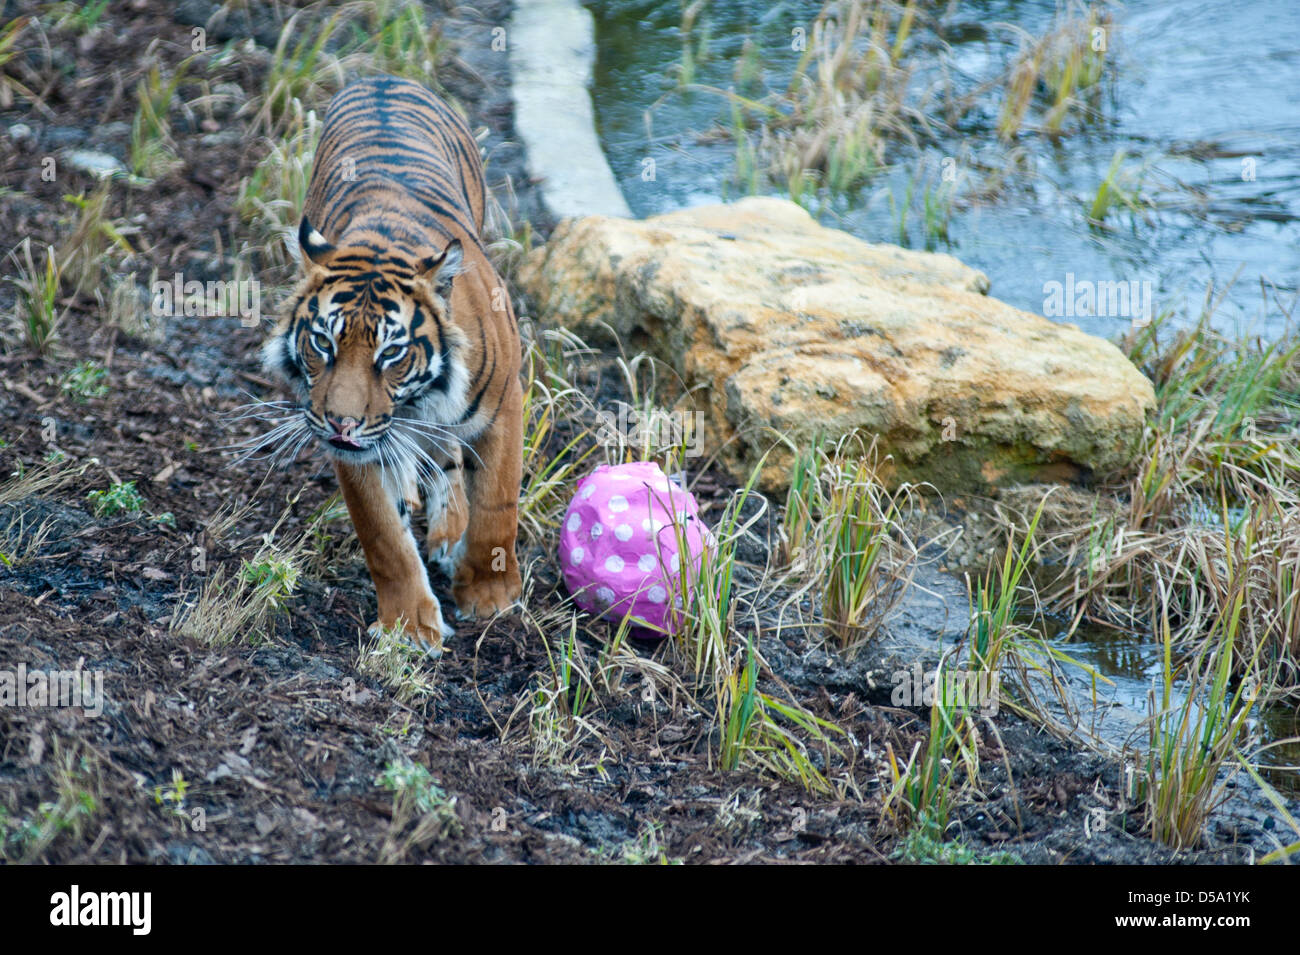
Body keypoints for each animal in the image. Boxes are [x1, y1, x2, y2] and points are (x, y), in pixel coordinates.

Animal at [261, 76, 525, 657]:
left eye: (391, 354)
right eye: (323, 343)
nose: (341, 422)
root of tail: (383, 76)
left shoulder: (503, 406)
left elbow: (496, 506)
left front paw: (490, 596)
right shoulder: (355, 450)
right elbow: (383, 536)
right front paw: (408, 626)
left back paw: (450, 531)